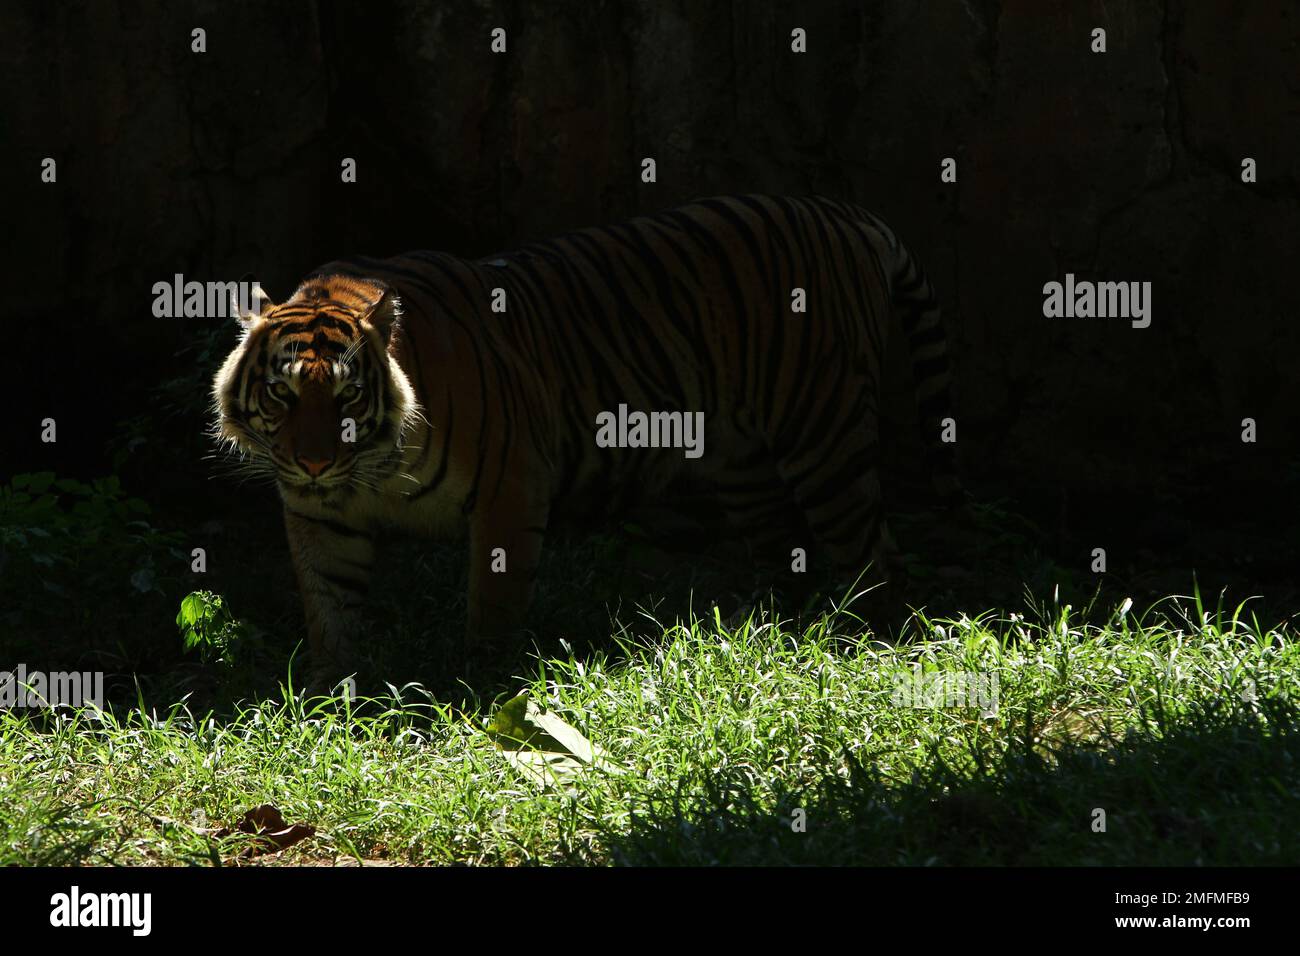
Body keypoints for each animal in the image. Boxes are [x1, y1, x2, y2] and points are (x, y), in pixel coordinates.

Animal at [213, 196, 961, 686]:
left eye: (346, 396)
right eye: (282, 395)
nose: (312, 462)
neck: (370, 466)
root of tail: (846, 214)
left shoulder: (510, 485)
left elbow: (494, 598)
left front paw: (483, 686)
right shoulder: (320, 515)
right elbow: (330, 607)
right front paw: (329, 694)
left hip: (823, 430)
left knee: (877, 555)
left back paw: (869, 647)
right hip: (741, 458)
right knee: (783, 547)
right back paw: (771, 632)